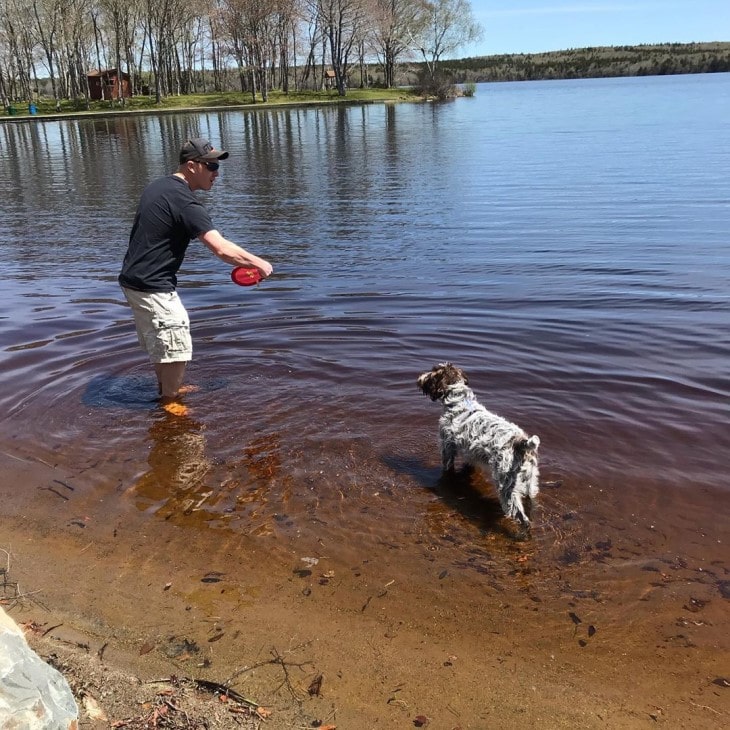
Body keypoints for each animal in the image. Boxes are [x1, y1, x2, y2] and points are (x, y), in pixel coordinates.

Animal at [416, 362, 540, 524]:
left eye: (432, 372)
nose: (419, 378)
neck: (459, 403)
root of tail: (521, 442)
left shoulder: (447, 448)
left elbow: (447, 467)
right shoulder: (471, 456)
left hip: (507, 486)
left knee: (520, 515)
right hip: (530, 481)